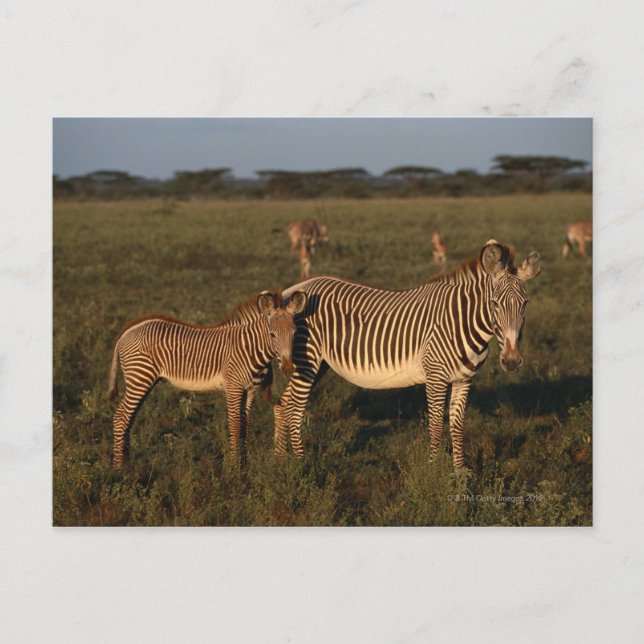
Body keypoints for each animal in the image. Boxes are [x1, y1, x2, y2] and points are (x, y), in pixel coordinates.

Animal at [107, 290, 308, 470]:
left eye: (294, 333)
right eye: (272, 334)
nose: (288, 368)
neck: (250, 349)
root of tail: (126, 332)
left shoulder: (250, 390)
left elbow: (246, 425)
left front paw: (245, 467)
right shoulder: (233, 387)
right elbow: (235, 424)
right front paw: (234, 469)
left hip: (142, 380)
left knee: (129, 417)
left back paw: (127, 463)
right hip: (140, 378)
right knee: (121, 417)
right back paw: (119, 469)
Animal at [273, 240, 540, 468]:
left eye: (525, 304)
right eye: (495, 303)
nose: (511, 361)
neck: (461, 321)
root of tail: (293, 289)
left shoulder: (464, 379)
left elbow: (457, 427)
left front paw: (460, 474)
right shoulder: (435, 378)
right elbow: (436, 427)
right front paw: (434, 474)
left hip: (317, 365)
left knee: (282, 403)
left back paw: (281, 461)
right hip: (307, 360)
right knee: (295, 407)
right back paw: (301, 466)